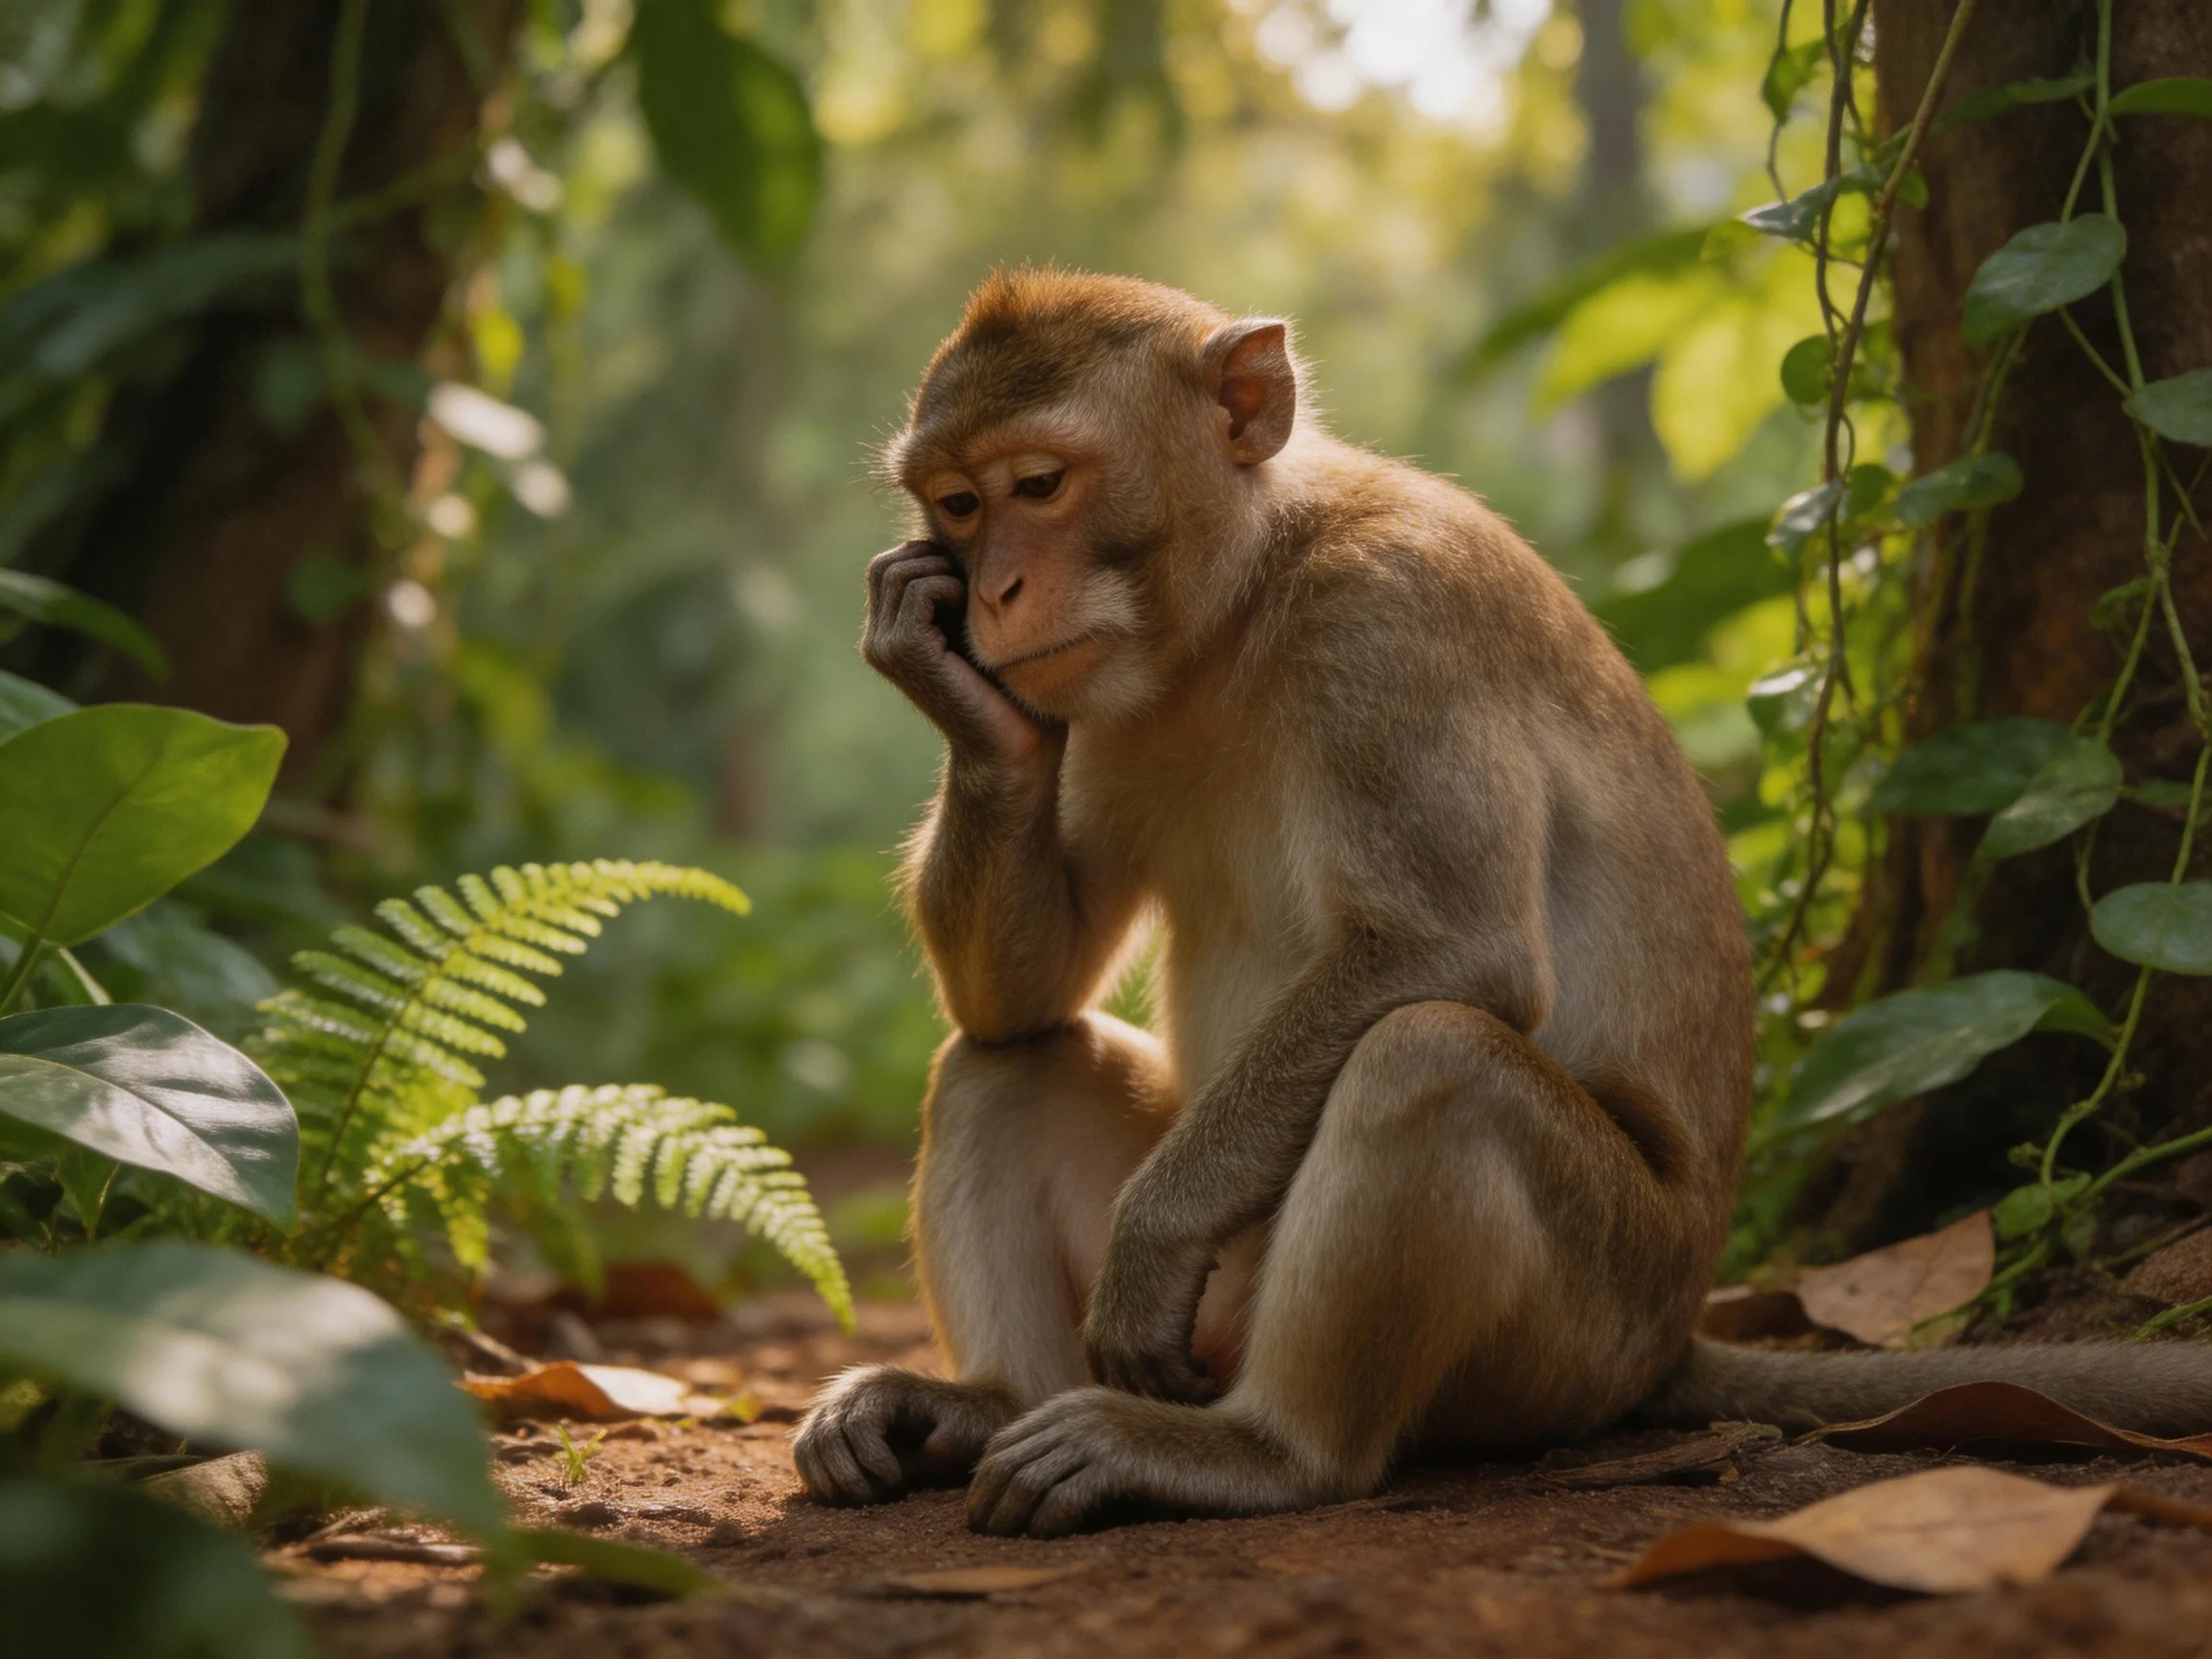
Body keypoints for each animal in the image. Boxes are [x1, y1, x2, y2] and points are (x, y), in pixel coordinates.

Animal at [792, 268, 2212, 1539]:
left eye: (1040, 485)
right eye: (958, 504)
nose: (991, 593)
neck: (1243, 605)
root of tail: (1674, 1334)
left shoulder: (1391, 623)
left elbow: (1451, 953)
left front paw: (1153, 1238)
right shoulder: (1084, 698)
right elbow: (1024, 989)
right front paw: (935, 667)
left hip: (1579, 1326)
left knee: (1432, 1062)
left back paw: (1260, 1453)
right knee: (1003, 1057)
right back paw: (984, 1405)